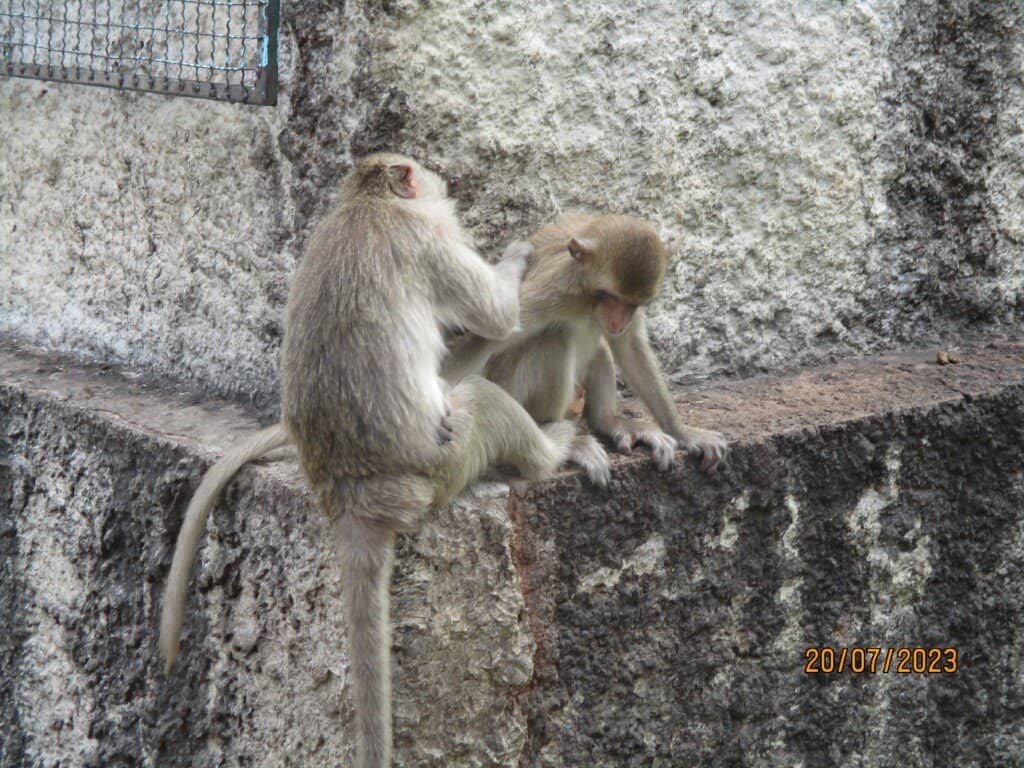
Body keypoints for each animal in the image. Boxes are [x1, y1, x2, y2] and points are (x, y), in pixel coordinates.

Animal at [159, 153, 575, 768]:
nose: (443, 187)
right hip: (442, 464)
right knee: (482, 400)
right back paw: (554, 448)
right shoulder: (429, 241)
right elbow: (499, 316)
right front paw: (521, 254)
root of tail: (352, 494)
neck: (366, 202)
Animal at [442, 213, 728, 486]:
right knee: (554, 338)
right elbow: (484, 337)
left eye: (632, 303)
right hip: (512, 389)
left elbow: (629, 347)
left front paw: (682, 431)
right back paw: (562, 439)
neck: (587, 296)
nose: (618, 322)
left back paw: (607, 420)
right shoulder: (554, 289)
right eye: (610, 296)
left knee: (600, 350)